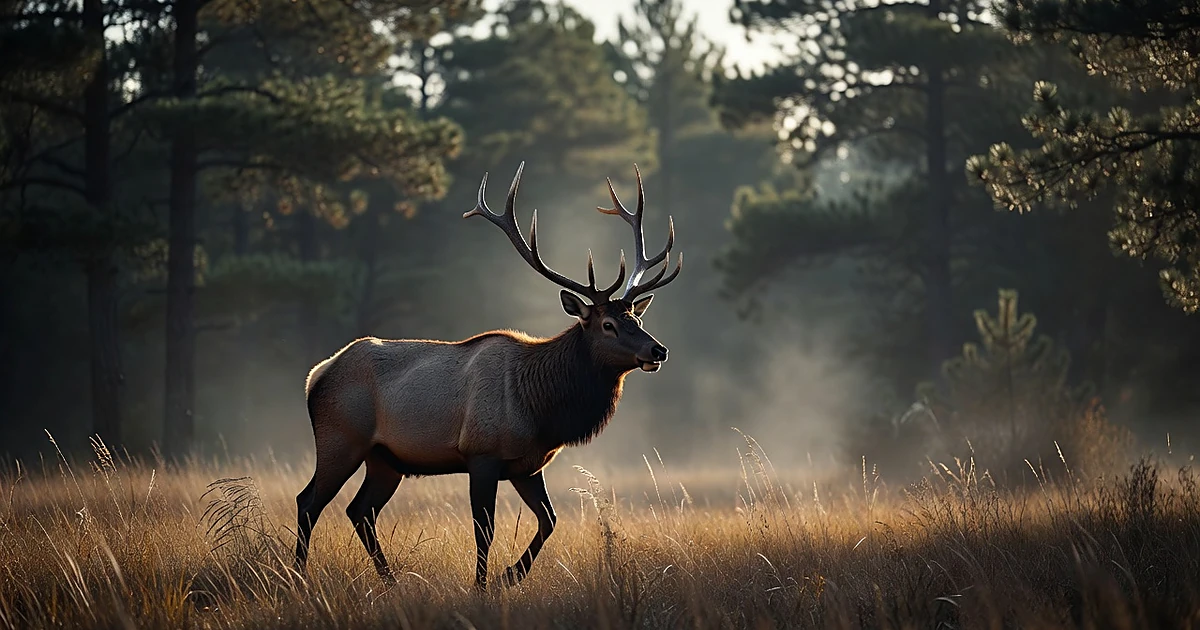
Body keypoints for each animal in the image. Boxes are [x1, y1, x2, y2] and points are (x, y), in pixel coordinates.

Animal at [294, 161, 682, 591]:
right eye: (609, 325)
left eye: (637, 319)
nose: (658, 350)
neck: (541, 411)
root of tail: (317, 375)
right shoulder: (481, 454)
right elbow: (485, 529)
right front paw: (483, 585)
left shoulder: (528, 466)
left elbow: (549, 520)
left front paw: (508, 575)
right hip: (340, 439)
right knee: (309, 501)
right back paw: (297, 578)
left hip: (385, 459)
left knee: (360, 510)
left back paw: (391, 582)